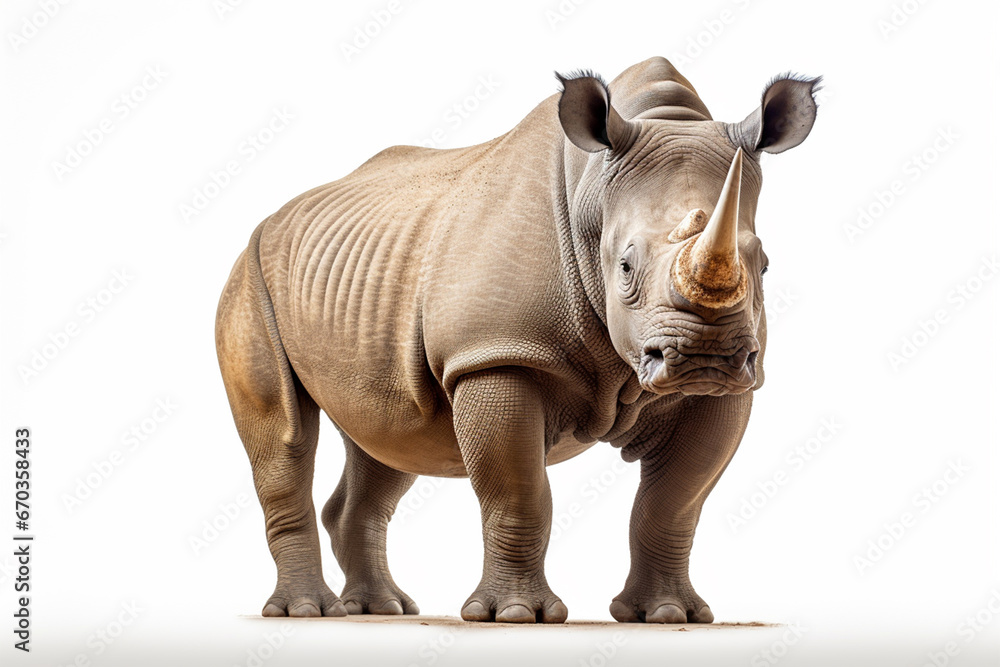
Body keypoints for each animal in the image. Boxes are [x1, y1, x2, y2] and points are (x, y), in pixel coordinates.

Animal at [215, 56, 820, 623]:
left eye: (764, 265)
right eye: (625, 267)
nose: (704, 357)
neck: (593, 193)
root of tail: (273, 218)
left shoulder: (727, 389)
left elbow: (674, 502)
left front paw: (670, 615)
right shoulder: (496, 355)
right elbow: (519, 494)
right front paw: (515, 616)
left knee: (389, 437)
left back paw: (381, 608)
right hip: (250, 274)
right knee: (287, 436)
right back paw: (307, 611)